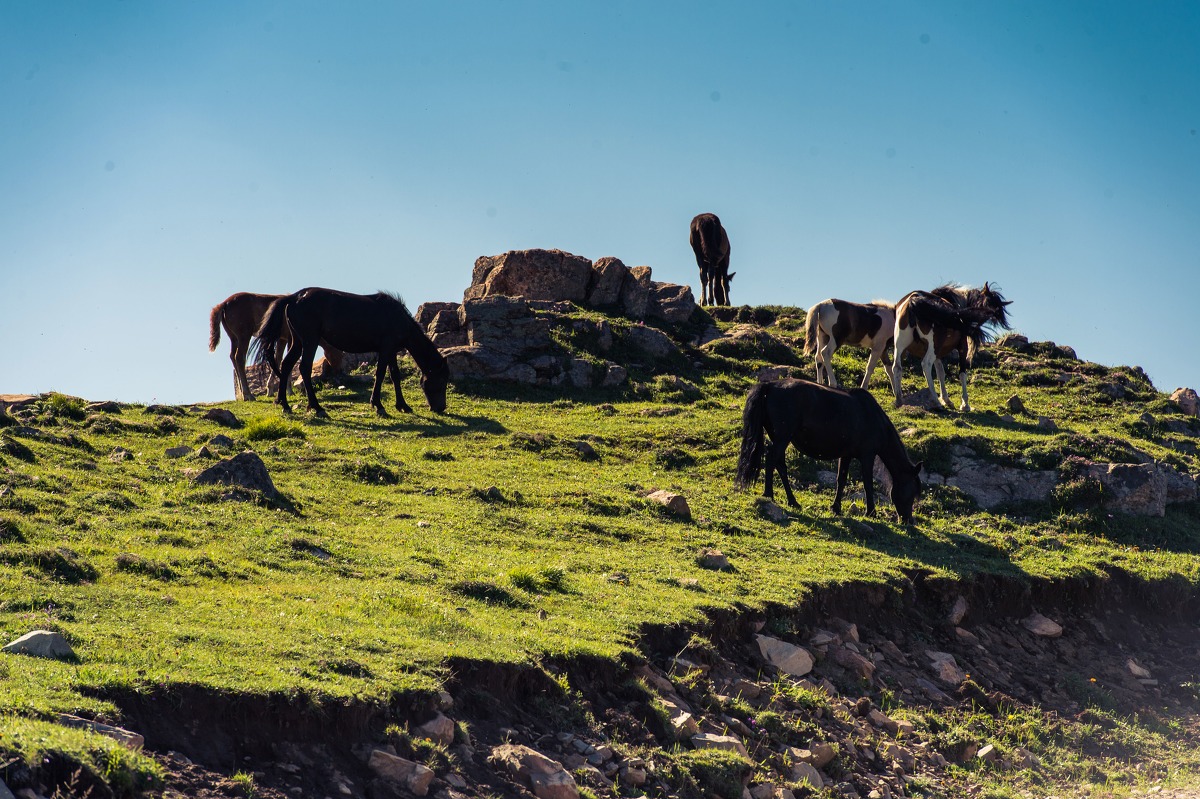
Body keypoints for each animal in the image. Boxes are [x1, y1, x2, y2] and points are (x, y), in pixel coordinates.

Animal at [206, 291, 345, 398]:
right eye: (339, 354)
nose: (339, 371)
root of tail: (224, 304)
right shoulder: (290, 338)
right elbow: (285, 360)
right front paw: (287, 390)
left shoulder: (282, 339)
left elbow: (278, 359)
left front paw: (272, 389)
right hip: (244, 335)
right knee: (239, 357)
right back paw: (248, 394)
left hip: (234, 338)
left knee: (232, 356)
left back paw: (242, 393)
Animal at [734, 379, 921, 523]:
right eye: (912, 491)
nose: (908, 521)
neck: (873, 418)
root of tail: (770, 385)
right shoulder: (867, 456)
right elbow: (867, 483)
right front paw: (871, 512)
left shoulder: (846, 455)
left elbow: (841, 480)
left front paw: (836, 508)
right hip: (782, 437)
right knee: (772, 459)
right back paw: (769, 495)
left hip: (780, 438)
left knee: (780, 465)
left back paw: (793, 501)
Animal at [892, 281, 1012, 410]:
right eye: (987, 301)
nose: (992, 314)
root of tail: (913, 300)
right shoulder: (962, 347)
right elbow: (962, 373)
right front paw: (965, 404)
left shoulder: (938, 354)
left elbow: (940, 373)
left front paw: (946, 399)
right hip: (933, 346)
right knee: (926, 364)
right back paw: (935, 401)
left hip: (900, 345)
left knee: (897, 367)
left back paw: (899, 399)